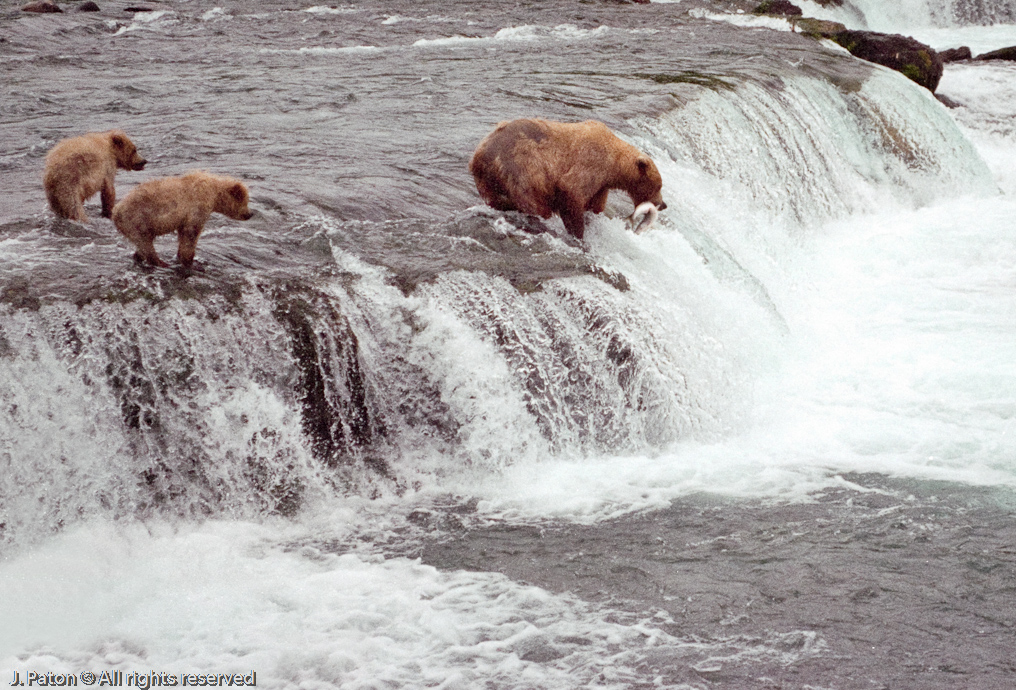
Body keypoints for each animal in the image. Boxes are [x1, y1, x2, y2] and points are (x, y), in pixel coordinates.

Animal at [467, 117, 666, 238]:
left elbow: (595, 205)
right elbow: (571, 191)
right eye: (658, 185)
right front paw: (578, 233)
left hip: (488, 183)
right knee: (534, 203)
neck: (614, 165)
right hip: (521, 170)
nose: (663, 204)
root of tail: (478, 156)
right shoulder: (591, 163)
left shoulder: (601, 185)